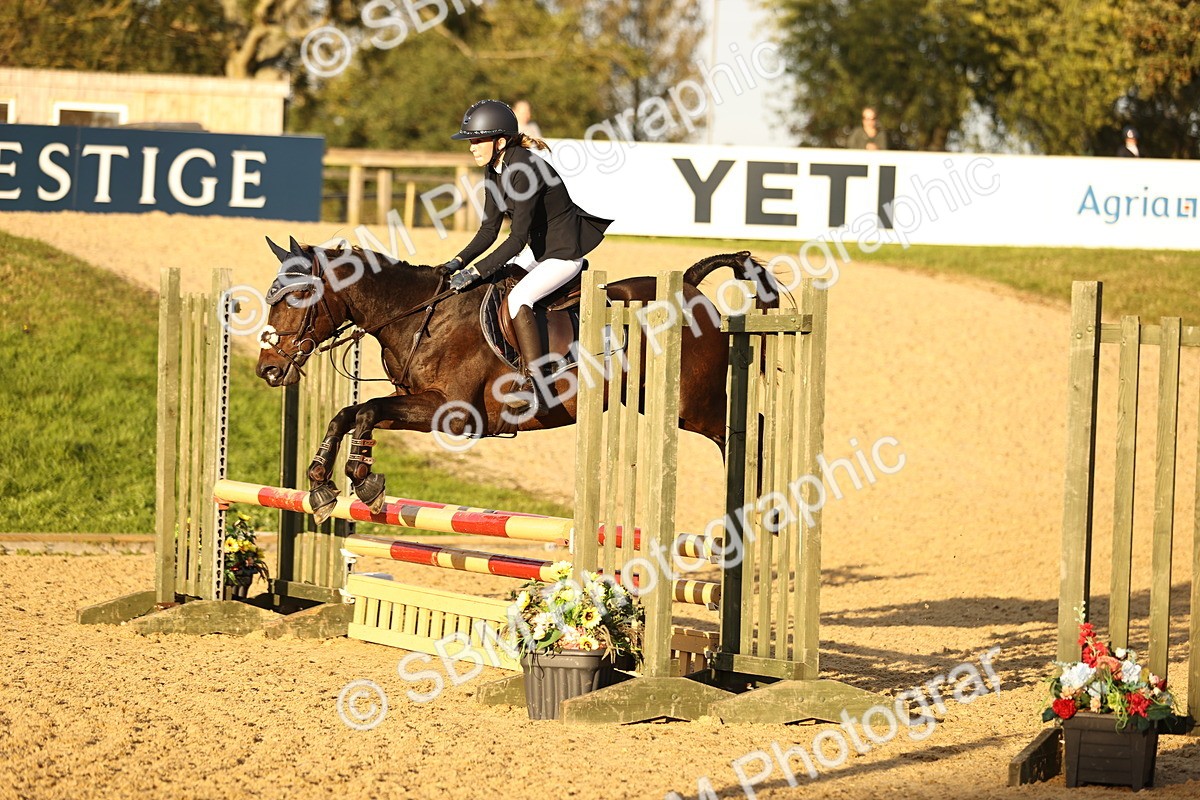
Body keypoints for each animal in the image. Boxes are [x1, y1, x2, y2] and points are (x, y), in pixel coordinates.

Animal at [255, 237, 780, 523]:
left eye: (298, 297)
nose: (268, 369)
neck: (419, 316)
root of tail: (689, 285)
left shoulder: (454, 414)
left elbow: (365, 410)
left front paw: (362, 480)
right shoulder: (414, 401)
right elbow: (352, 412)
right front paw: (324, 483)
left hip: (696, 404)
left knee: (748, 432)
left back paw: (762, 508)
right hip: (661, 402)